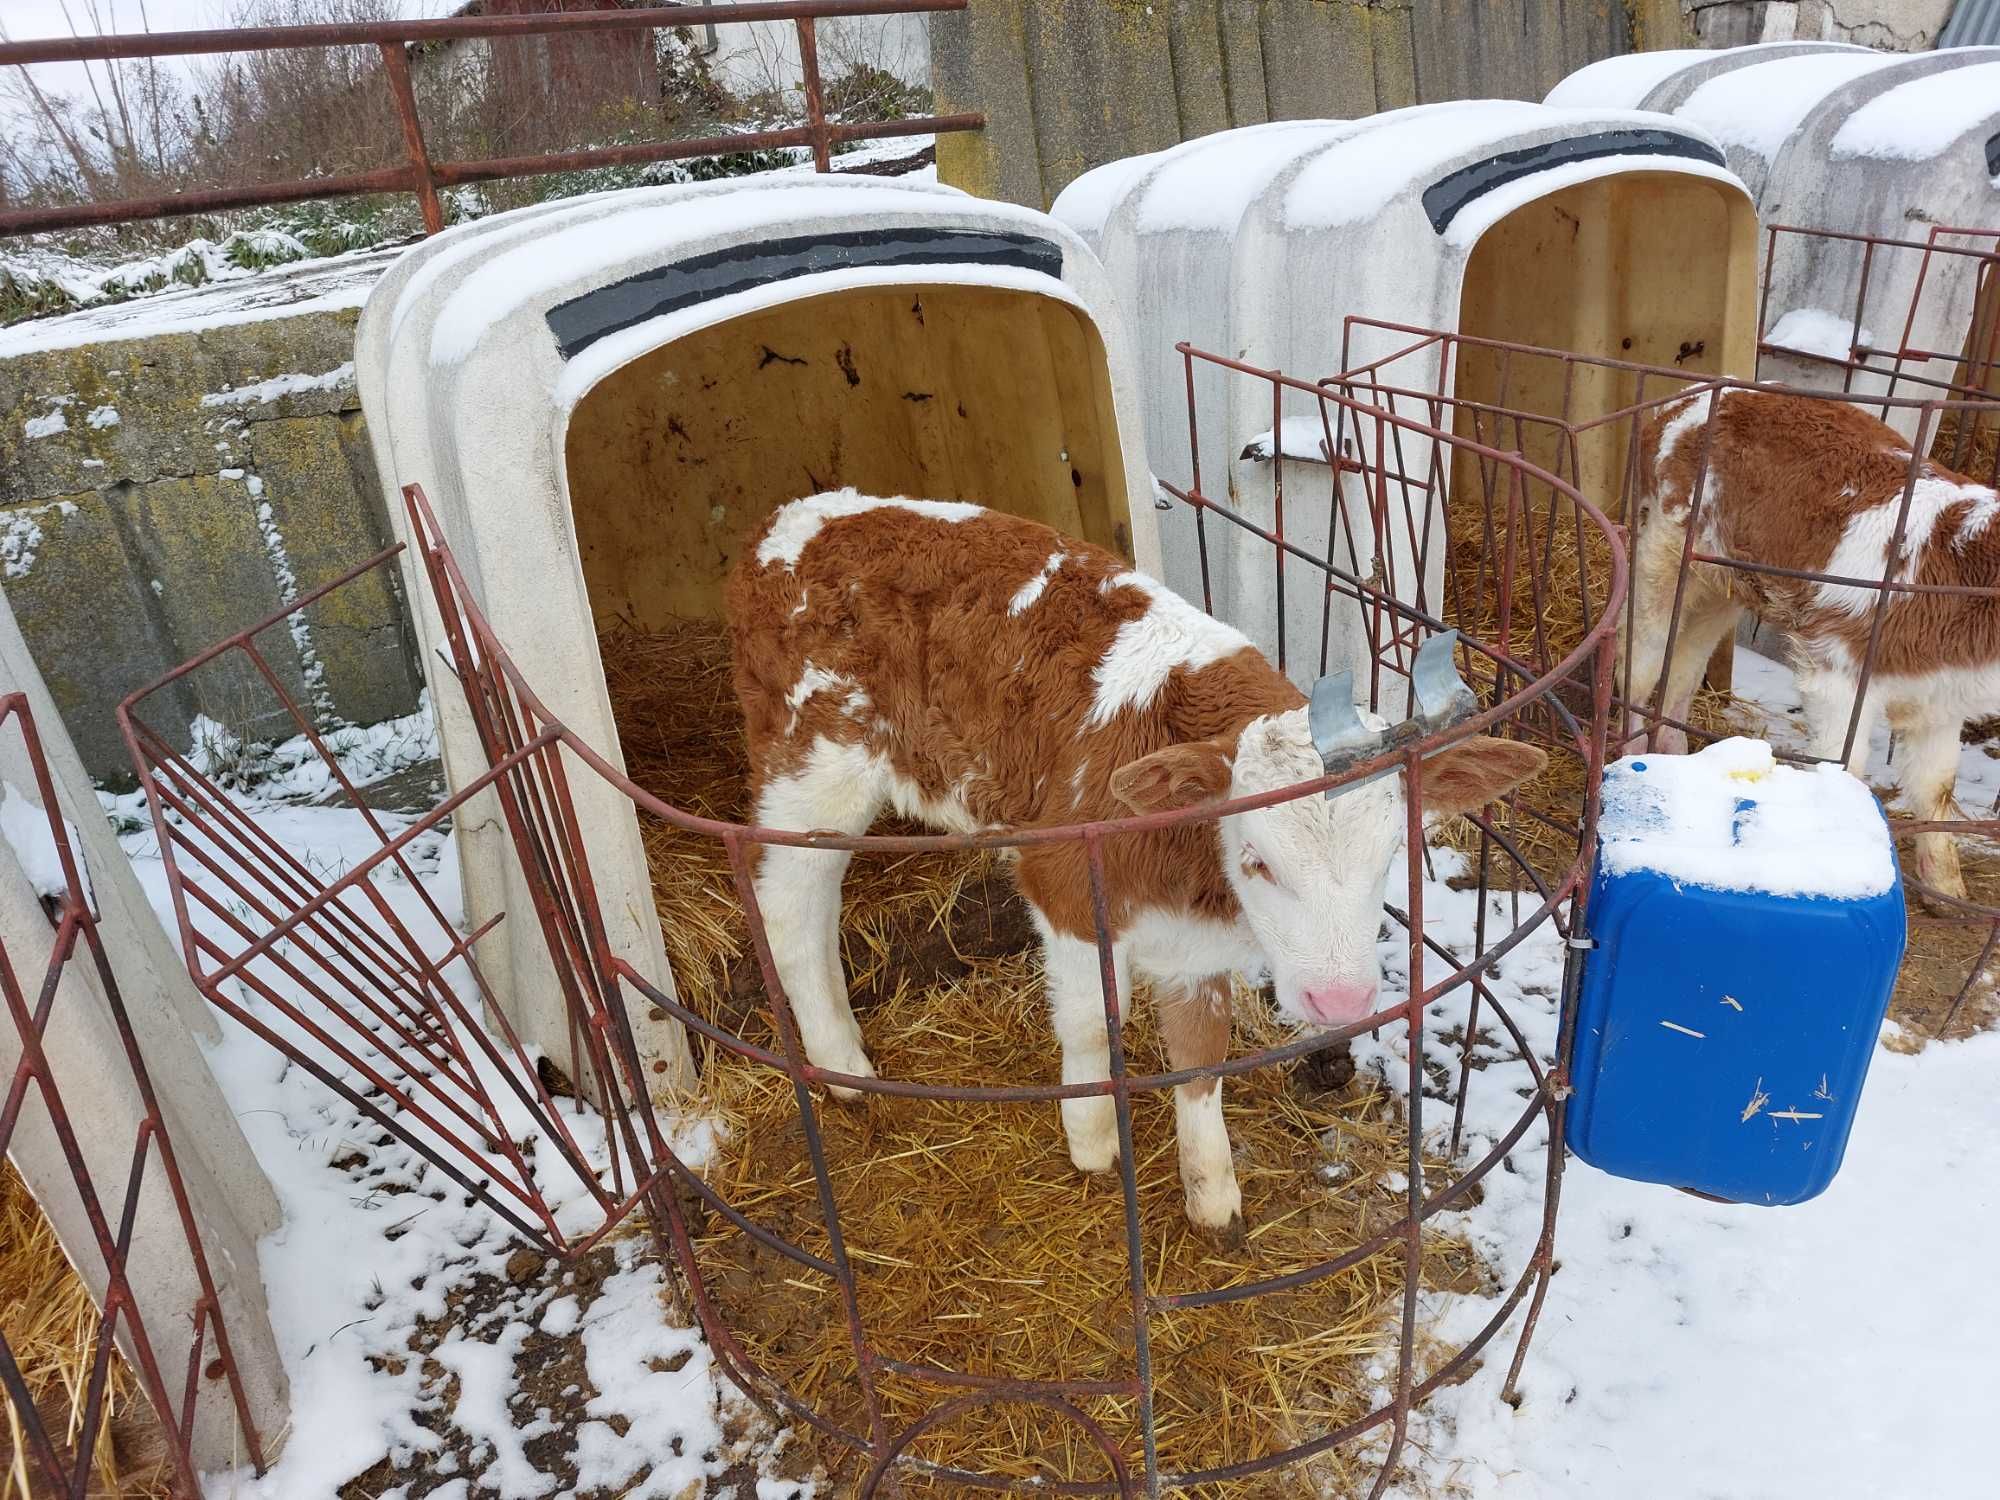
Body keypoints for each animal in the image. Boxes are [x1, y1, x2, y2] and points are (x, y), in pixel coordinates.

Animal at [724, 494, 1544, 1232]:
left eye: (1393, 853)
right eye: (1257, 861)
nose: (1341, 1003)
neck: (1193, 874)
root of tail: (789, 521)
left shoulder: (1197, 945)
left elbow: (1202, 1054)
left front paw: (1212, 1194)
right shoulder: (1061, 886)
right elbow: (1091, 1021)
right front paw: (1091, 1141)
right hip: (809, 770)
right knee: (790, 908)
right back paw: (843, 1067)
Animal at [1624, 390, 2000, 904]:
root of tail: (1696, 397)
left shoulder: (1941, 699)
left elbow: (1937, 787)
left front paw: (1947, 889)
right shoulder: (1838, 673)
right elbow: (1844, 769)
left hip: (1720, 586)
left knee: (1681, 670)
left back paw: (1675, 754)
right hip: (1661, 554)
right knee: (1640, 665)